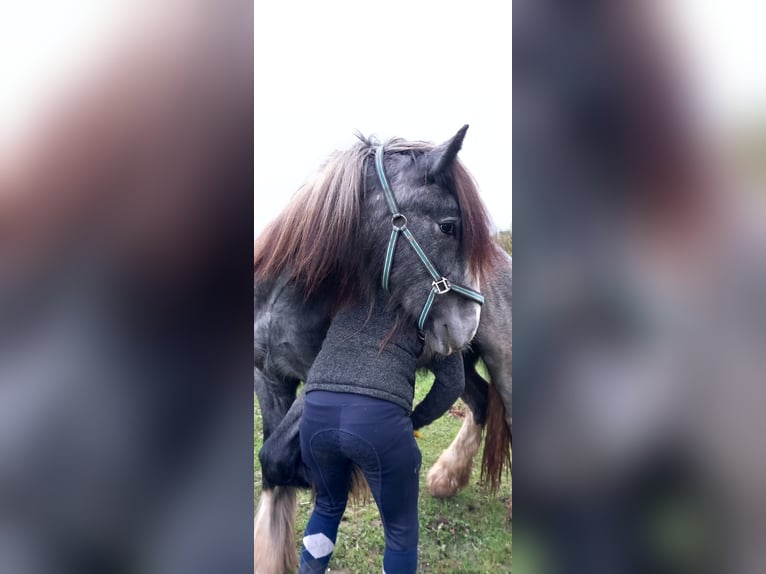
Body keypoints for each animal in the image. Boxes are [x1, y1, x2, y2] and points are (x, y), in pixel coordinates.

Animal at [255, 127, 512, 574]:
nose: (468, 324)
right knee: (480, 403)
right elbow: (271, 466)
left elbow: (274, 457)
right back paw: (446, 478)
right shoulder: (268, 379)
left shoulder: (319, 381)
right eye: (448, 227)